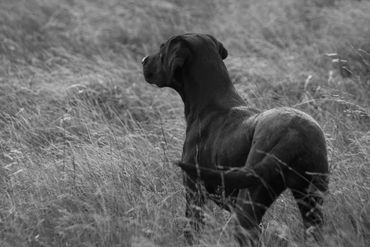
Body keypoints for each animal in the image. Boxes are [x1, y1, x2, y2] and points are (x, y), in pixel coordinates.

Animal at [142, 33, 330, 245]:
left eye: (162, 48)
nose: (143, 60)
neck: (209, 105)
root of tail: (294, 134)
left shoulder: (193, 192)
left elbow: (191, 232)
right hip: (310, 202)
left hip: (248, 204)